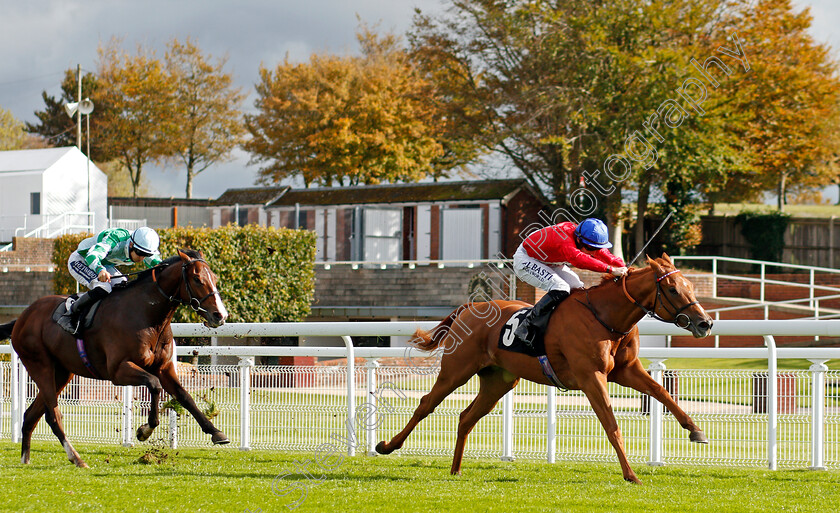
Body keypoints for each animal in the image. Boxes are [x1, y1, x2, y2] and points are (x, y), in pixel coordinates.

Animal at [0, 248, 230, 468]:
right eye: (197, 279)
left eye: (215, 278)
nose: (220, 315)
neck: (146, 314)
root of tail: (21, 317)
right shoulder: (119, 370)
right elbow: (154, 385)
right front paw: (144, 430)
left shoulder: (164, 367)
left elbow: (184, 396)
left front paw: (216, 432)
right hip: (40, 365)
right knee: (52, 416)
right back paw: (77, 458)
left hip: (62, 373)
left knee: (31, 415)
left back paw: (26, 458)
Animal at [378, 254, 712, 482]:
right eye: (672, 289)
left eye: (690, 286)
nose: (705, 323)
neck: (606, 316)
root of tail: (470, 308)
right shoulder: (591, 377)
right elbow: (611, 425)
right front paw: (631, 475)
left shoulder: (626, 371)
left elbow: (660, 391)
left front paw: (695, 430)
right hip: (456, 370)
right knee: (425, 404)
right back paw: (387, 446)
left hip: (499, 381)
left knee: (466, 417)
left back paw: (456, 469)